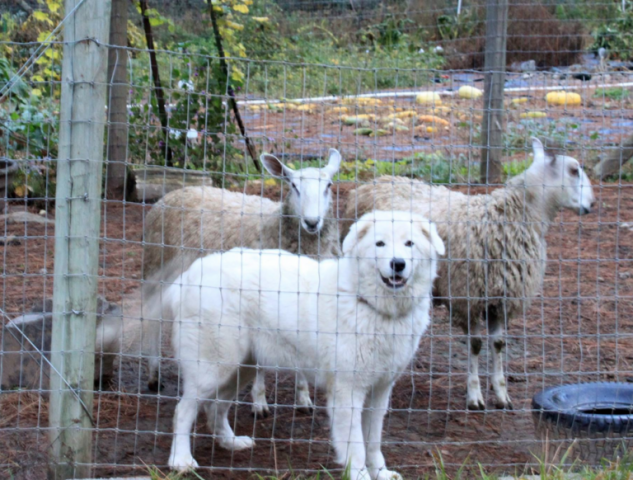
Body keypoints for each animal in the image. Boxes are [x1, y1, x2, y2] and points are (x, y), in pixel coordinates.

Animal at [141, 148, 344, 414]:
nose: (312, 222)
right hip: (155, 270)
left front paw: (303, 398)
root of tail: (173, 193)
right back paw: (154, 375)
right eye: (293, 185)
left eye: (329, 185)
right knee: (151, 321)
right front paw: (259, 402)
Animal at [156, 211, 444, 480]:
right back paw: (181, 461)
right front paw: (360, 475)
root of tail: (190, 275)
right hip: (213, 369)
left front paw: (381, 473)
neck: (368, 302)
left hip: (239, 369)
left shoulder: (380, 391)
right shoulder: (348, 392)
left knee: (215, 408)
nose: (398, 264)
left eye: (409, 243)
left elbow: (373, 442)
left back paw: (231, 443)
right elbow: (356, 447)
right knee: (183, 411)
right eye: (380, 244)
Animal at [340, 138, 592, 408]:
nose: (591, 204)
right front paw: (475, 396)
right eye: (574, 170)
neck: (512, 217)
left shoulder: (501, 298)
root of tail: (371, 183)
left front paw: (501, 394)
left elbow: (498, 343)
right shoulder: (467, 296)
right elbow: (475, 344)